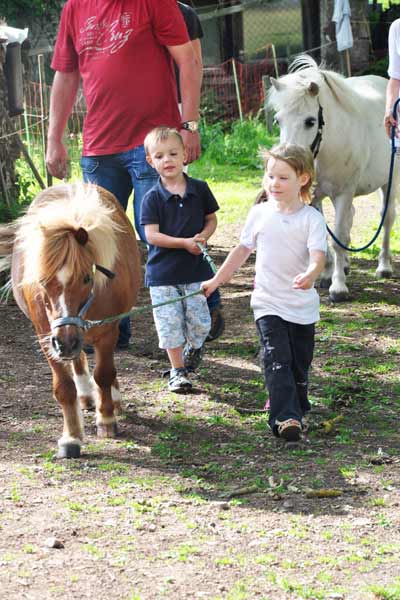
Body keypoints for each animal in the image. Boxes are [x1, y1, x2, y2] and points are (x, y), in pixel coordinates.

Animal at [0, 182, 141, 454]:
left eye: (86, 278)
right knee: (77, 362)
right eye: (42, 281)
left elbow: (104, 373)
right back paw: (85, 395)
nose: (66, 341)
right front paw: (72, 435)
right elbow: (64, 387)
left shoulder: (108, 331)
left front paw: (106, 419)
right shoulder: (47, 336)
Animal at [268, 54, 398, 302]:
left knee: (386, 219)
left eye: (310, 121)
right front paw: (327, 274)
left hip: (389, 182)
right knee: (349, 222)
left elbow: (337, 237)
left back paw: (384, 267)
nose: (285, 161)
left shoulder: (343, 193)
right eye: (278, 120)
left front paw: (338, 287)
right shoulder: (314, 197)